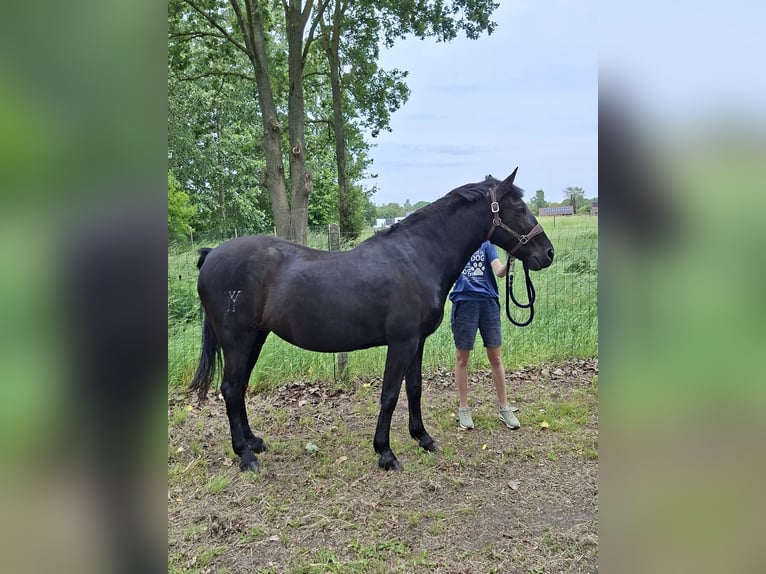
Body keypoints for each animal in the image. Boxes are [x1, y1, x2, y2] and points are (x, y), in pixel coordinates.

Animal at [190, 169, 554, 472]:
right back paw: (245, 456)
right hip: (237, 340)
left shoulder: (416, 342)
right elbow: (390, 394)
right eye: (519, 207)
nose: (547, 253)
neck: (418, 256)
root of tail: (211, 255)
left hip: (255, 338)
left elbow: (414, 389)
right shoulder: (401, 342)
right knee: (230, 389)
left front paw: (423, 438)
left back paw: (254, 443)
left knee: (238, 388)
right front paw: (385, 453)